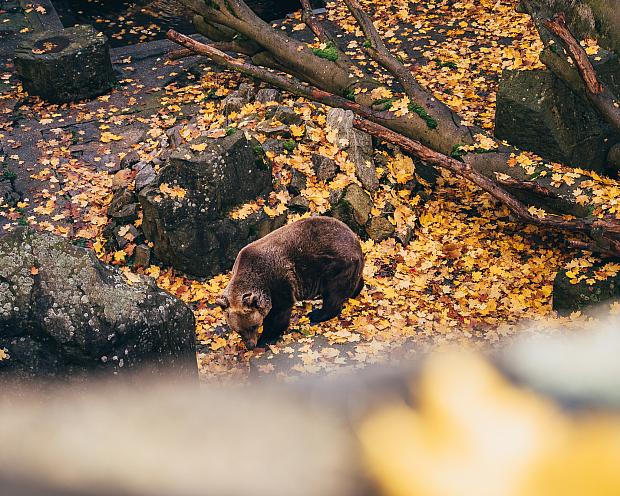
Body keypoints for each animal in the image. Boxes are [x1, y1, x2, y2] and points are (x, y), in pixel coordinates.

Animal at [217, 216, 364, 348]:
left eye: (254, 326)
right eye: (239, 330)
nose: (250, 345)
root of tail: (355, 240)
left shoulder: (277, 282)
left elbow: (279, 314)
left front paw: (265, 338)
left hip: (335, 265)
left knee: (333, 293)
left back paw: (316, 314)